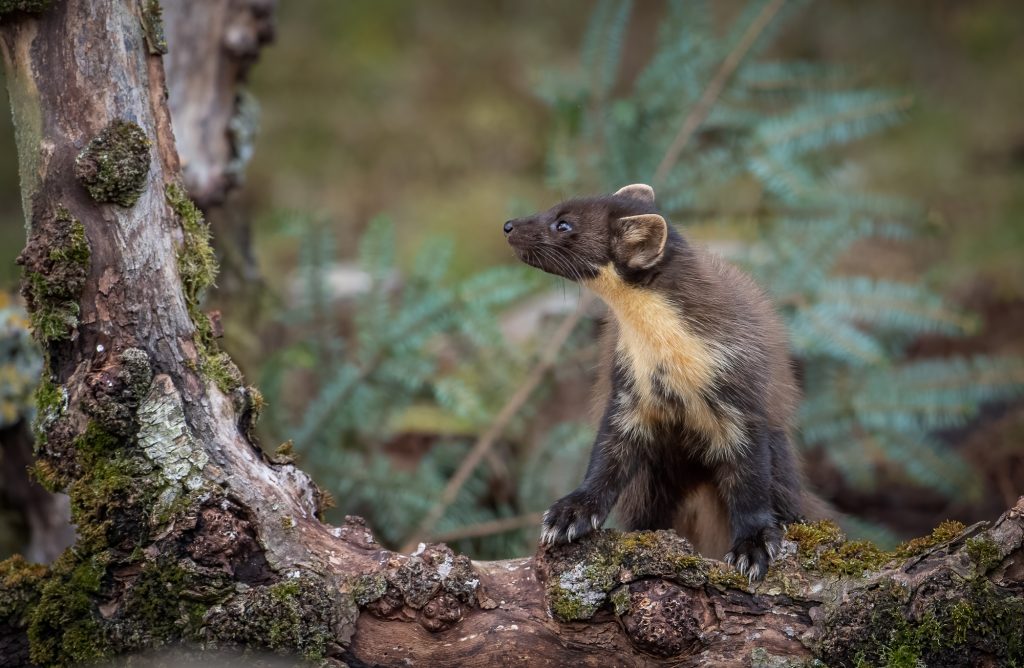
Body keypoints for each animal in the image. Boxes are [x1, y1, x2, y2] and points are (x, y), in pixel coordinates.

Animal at [503, 183, 805, 580]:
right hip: (652, 477)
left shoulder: (742, 393)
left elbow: (750, 480)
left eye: (564, 224)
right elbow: (606, 461)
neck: (668, 362)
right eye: (554, 206)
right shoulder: (628, 389)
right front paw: (571, 513)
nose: (509, 225)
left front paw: (752, 547)